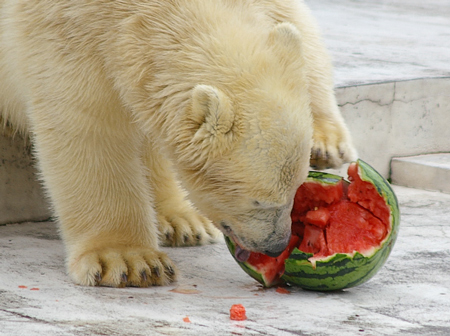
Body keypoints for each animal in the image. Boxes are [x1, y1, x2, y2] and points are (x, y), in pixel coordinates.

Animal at [1, 1, 356, 288]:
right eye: (258, 201)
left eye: (297, 188)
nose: (276, 246)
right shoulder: (65, 32)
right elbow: (89, 129)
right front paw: (130, 260)